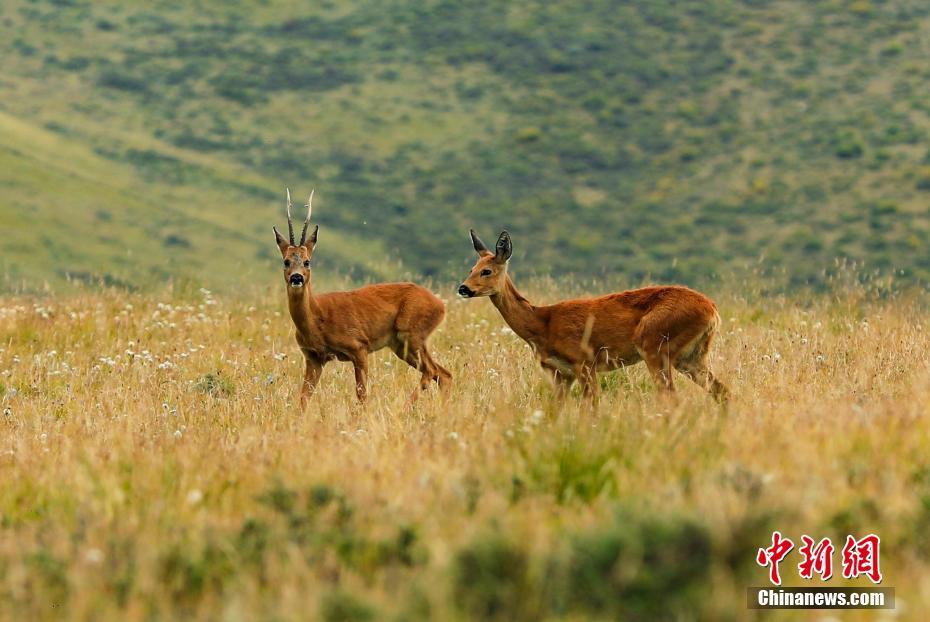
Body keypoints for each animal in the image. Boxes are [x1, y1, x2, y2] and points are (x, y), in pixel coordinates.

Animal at [272, 188, 450, 408]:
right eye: (286, 261)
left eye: (307, 262)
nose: (296, 278)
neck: (317, 318)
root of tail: (441, 305)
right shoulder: (313, 357)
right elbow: (304, 397)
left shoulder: (359, 345)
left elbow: (362, 394)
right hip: (402, 345)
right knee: (444, 374)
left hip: (413, 334)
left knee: (432, 371)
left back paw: (405, 407)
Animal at [456, 230, 724, 404]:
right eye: (470, 269)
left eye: (486, 271)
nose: (463, 288)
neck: (542, 323)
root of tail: (712, 309)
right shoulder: (560, 374)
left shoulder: (584, 361)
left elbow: (591, 406)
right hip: (691, 356)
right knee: (722, 392)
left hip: (656, 346)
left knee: (672, 397)